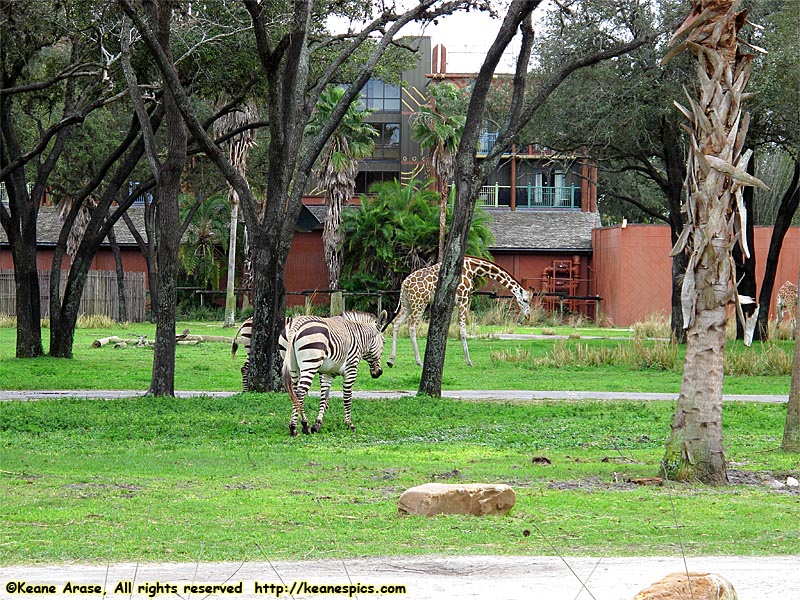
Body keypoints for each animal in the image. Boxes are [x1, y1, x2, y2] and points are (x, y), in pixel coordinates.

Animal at [388, 253, 532, 366]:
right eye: (525, 300)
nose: (528, 316)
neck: (473, 268)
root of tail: (404, 284)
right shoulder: (463, 299)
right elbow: (462, 330)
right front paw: (469, 361)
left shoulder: (451, 303)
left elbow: (448, 329)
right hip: (419, 303)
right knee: (411, 326)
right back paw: (419, 361)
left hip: (407, 303)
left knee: (396, 323)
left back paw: (391, 360)